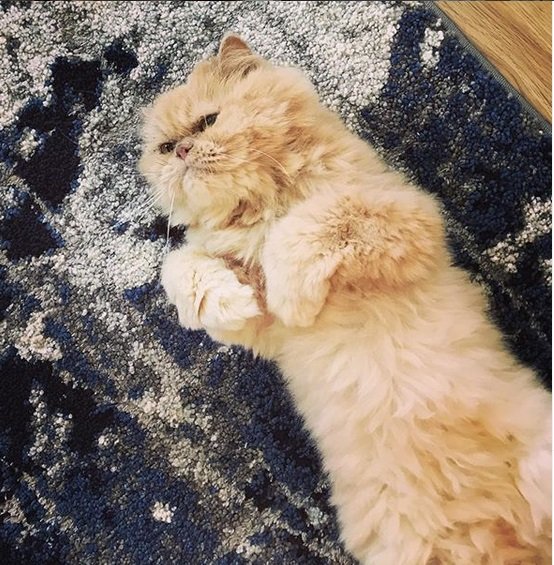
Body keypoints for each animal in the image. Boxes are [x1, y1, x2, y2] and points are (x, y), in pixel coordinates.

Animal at [138, 33, 548, 560]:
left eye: (208, 121)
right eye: (166, 148)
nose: (185, 151)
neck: (263, 205)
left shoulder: (407, 218)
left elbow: (311, 222)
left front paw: (291, 288)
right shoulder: (263, 331)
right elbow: (179, 267)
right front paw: (230, 298)